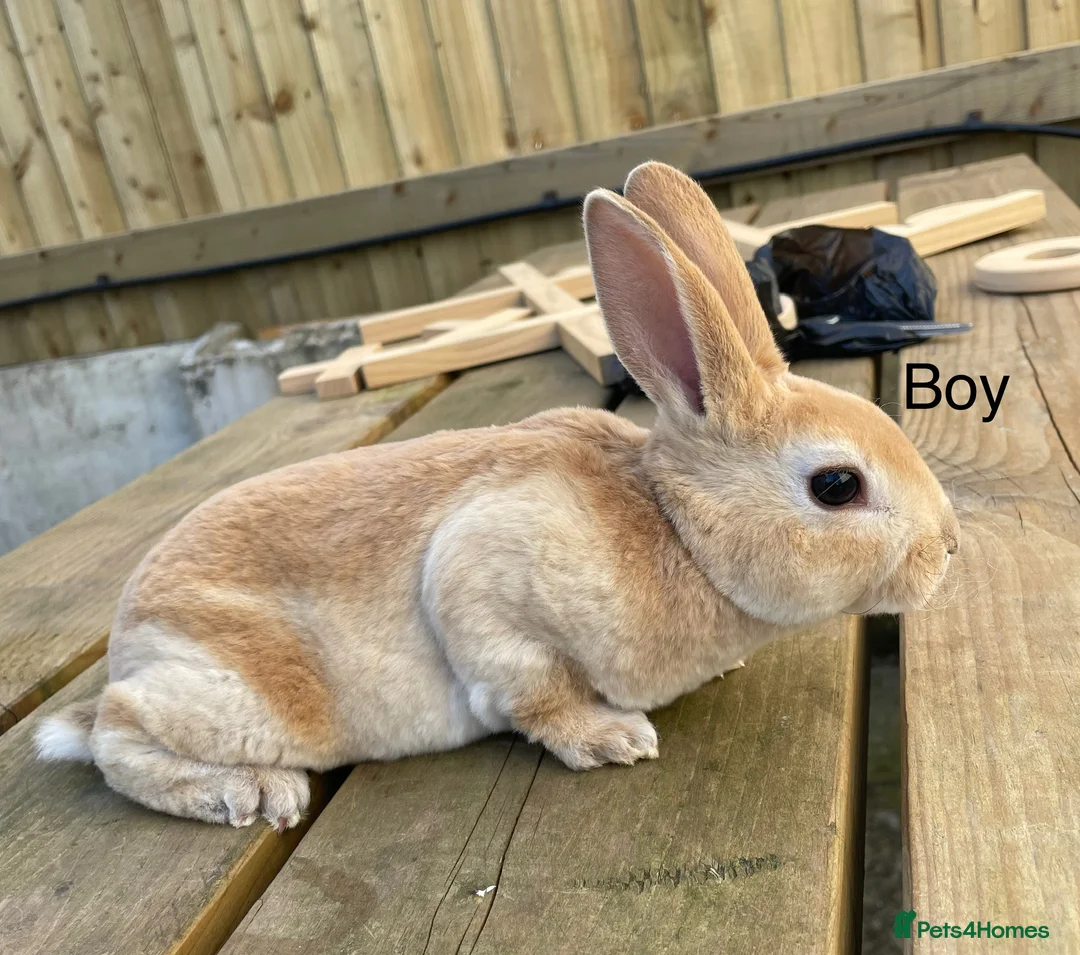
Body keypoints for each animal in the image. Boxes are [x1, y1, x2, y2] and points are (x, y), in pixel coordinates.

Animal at [35, 161, 958, 830]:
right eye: (836, 486)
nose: (948, 548)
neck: (677, 529)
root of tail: (129, 638)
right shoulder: (488, 581)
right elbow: (533, 690)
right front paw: (613, 738)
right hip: (239, 693)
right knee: (116, 736)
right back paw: (253, 793)